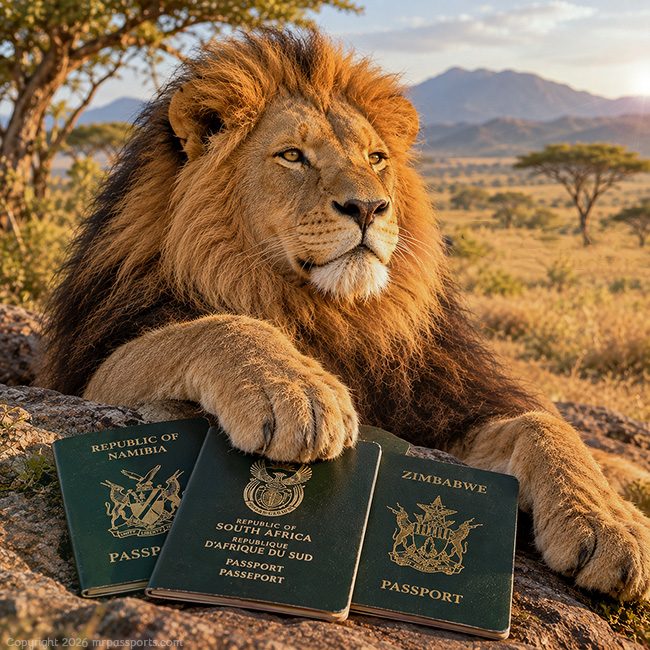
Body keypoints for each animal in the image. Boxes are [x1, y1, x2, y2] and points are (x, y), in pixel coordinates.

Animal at [41, 30, 649, 601]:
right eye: (292, 156)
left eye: (376, 159)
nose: (369, 207)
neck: (335, 313)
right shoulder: (90, 370)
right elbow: (216, 326)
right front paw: (299, 392)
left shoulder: (446, 405)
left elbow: (545, 424)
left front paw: (611, 524)